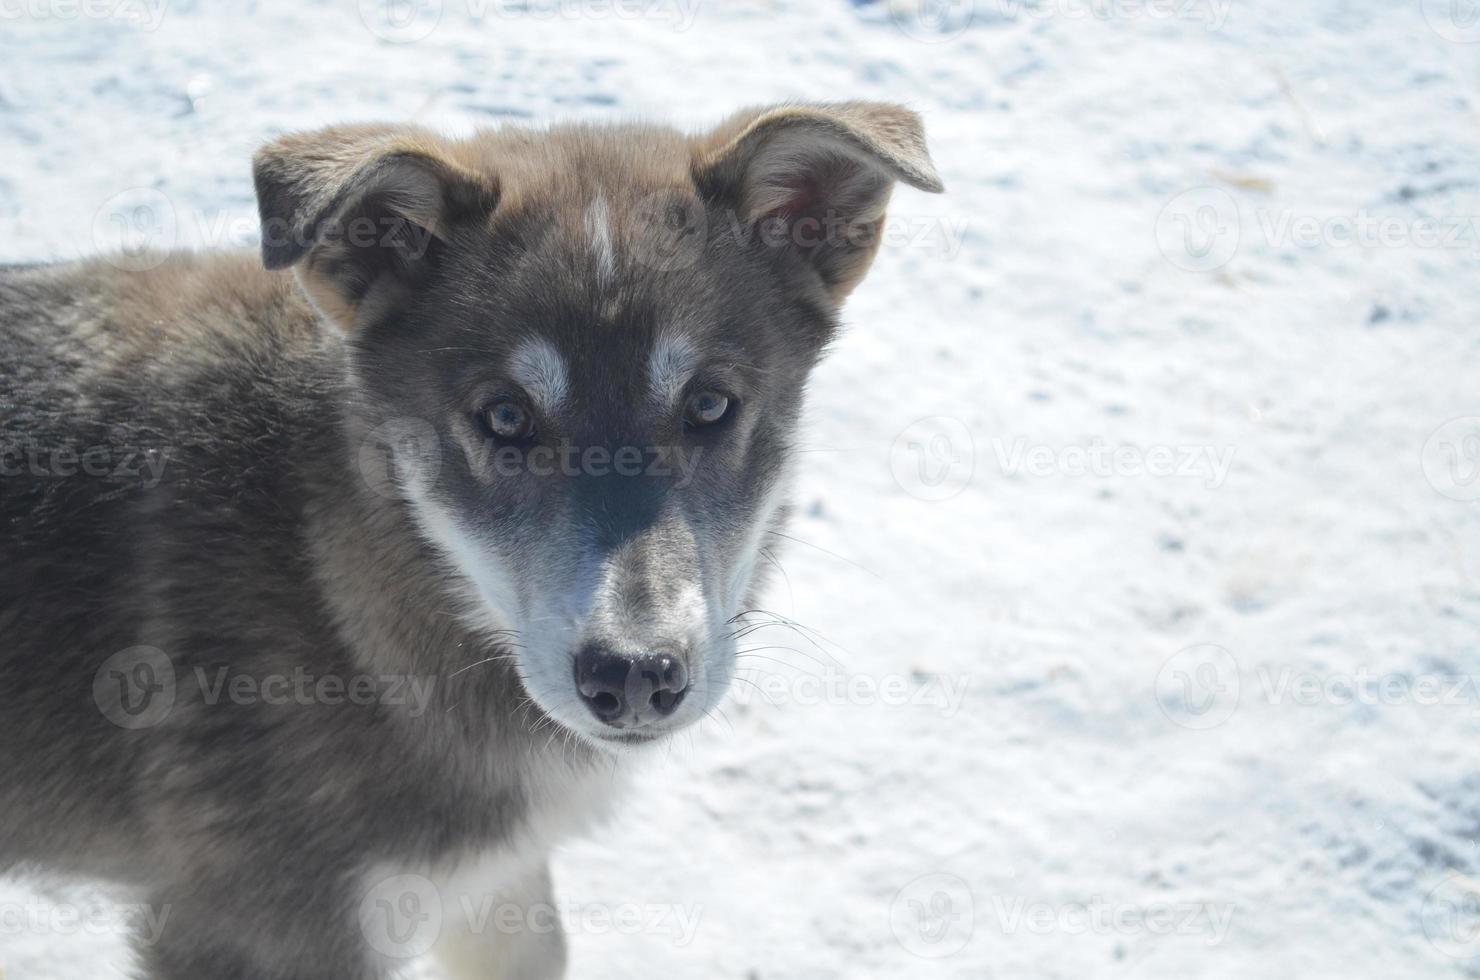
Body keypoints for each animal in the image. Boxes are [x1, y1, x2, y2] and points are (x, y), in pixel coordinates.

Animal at [0, 103, 941, 977]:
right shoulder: (260, 928)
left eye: (710, 404)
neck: (343, 606)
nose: (636, 677)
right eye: (505, 416)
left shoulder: (493, 880)